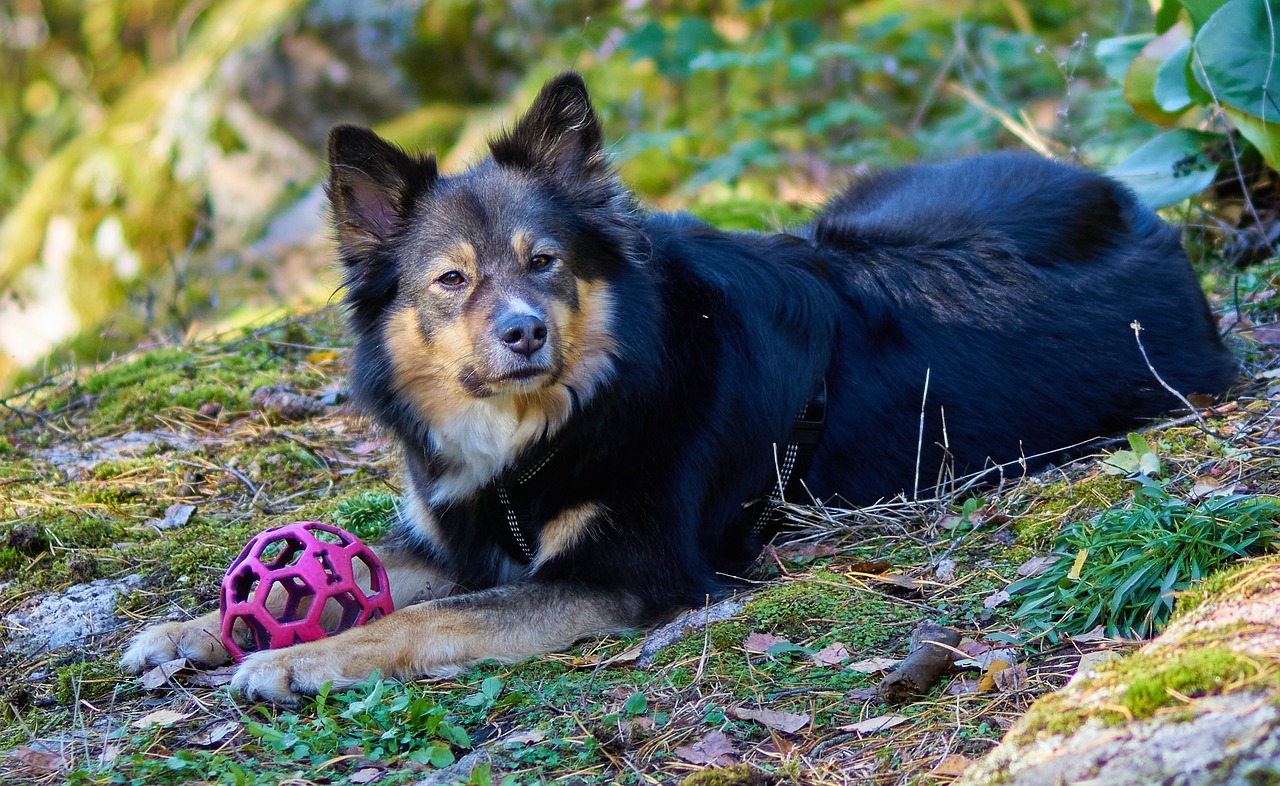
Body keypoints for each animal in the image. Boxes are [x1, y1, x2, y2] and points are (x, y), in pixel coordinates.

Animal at [122, 70, 1239, 706]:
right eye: (452, 280)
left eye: (545, 263)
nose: (524, 334)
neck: (549, 430)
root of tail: (1140, 205)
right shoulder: (460, 536)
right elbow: (382, 578)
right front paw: (200, 629)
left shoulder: (629, 573)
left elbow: (431, 620)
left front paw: (294, 661)